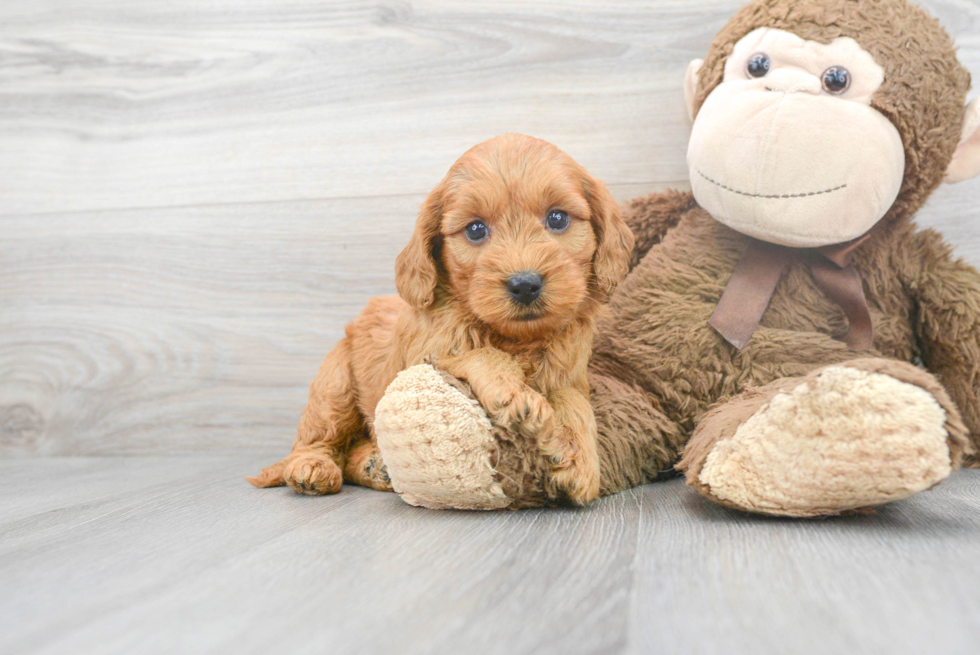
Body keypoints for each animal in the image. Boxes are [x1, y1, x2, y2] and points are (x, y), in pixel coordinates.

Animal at [247, 131, 636, 504]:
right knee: (317, 437)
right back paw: (312, 468)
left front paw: (579, 458)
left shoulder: (571, 373)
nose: (525, 284)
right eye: (476, 229)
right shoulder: (422, 358)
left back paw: (375, 465)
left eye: (558, 218)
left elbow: (574, 400)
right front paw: (514, 392)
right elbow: (478, 353)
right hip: (335, 383)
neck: (515, 338)